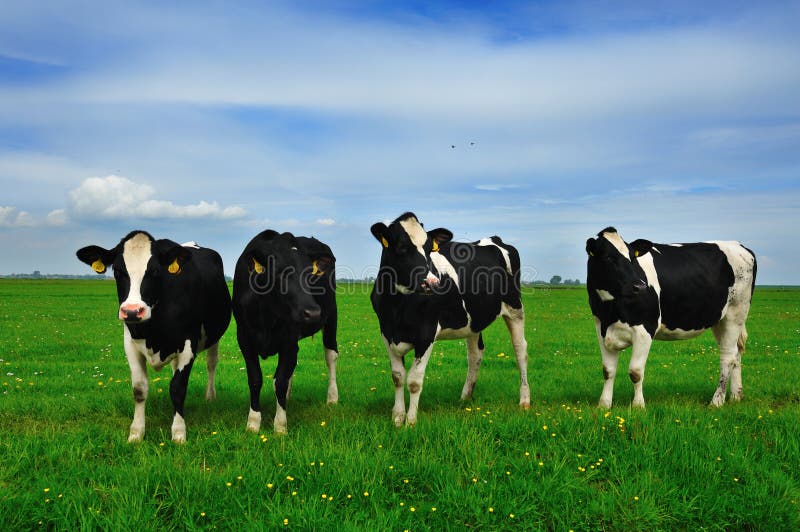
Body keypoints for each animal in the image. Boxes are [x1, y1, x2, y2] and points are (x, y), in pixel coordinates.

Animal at [76, 231, 231, 442]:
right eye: (117, 270)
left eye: (155, 271)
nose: (132, 311)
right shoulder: (130, 344)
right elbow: (139, 389)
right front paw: (136, 434)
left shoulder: (188, 344)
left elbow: (177, 388)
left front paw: (178, 433)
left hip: (214, 336)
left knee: (211, 363)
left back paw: (210, 396)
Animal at [231, 231, 338, 434]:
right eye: (280, 273)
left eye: (310, 275)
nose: (313, 313)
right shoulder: (245, 340)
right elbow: (255, 379)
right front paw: (253, 423)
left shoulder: (288, 341)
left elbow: (279, 381)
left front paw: (280, 426)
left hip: (331, 318)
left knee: (331, 356)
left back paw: (332, 397)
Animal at [370, 214, 532, 426]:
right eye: (402, 247)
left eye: (429, 249)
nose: (431, 283)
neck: (398, 306)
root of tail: (494, 239)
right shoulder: (386, 333)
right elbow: (397, 377)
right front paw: (397, 418)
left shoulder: (427, 334)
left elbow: (414, 381)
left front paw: (410, 422)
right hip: (473, 320)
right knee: (475, 354)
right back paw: (465, 397)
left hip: (515, 309)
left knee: (520, 350)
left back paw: (524, 400)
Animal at [584, 228, 760, 408]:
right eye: (608, 257)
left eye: (632, 257)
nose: (640, 286)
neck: (611, 312)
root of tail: (740, 246)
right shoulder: (601, 329)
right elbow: (608, 371)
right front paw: (604, 405)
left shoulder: (645, 329)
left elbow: (635, 371)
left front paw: (639, 406)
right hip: (720, 320)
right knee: (736, 353)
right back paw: (736, 396)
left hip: (736, 312)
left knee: (728, 356)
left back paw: (716, 401)